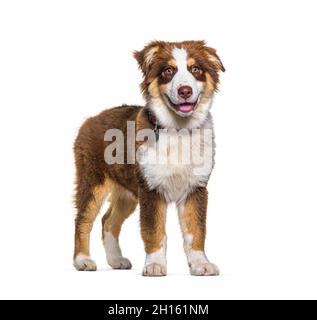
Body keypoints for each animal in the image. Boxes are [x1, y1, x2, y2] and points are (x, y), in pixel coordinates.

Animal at [73, 40, 223, 276]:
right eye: (168, 71)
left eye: (196, 69)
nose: (185, 91)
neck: (178, 130)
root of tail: (90, 119)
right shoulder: (151, 189)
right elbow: (154, 230)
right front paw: (155, 265)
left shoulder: (195, 189)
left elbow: (196, 231)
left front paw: (201, 264)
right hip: (92, 180)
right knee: (83, 219)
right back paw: (83, 260)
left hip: (127, 191)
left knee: (108, 221)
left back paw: (116, 260)